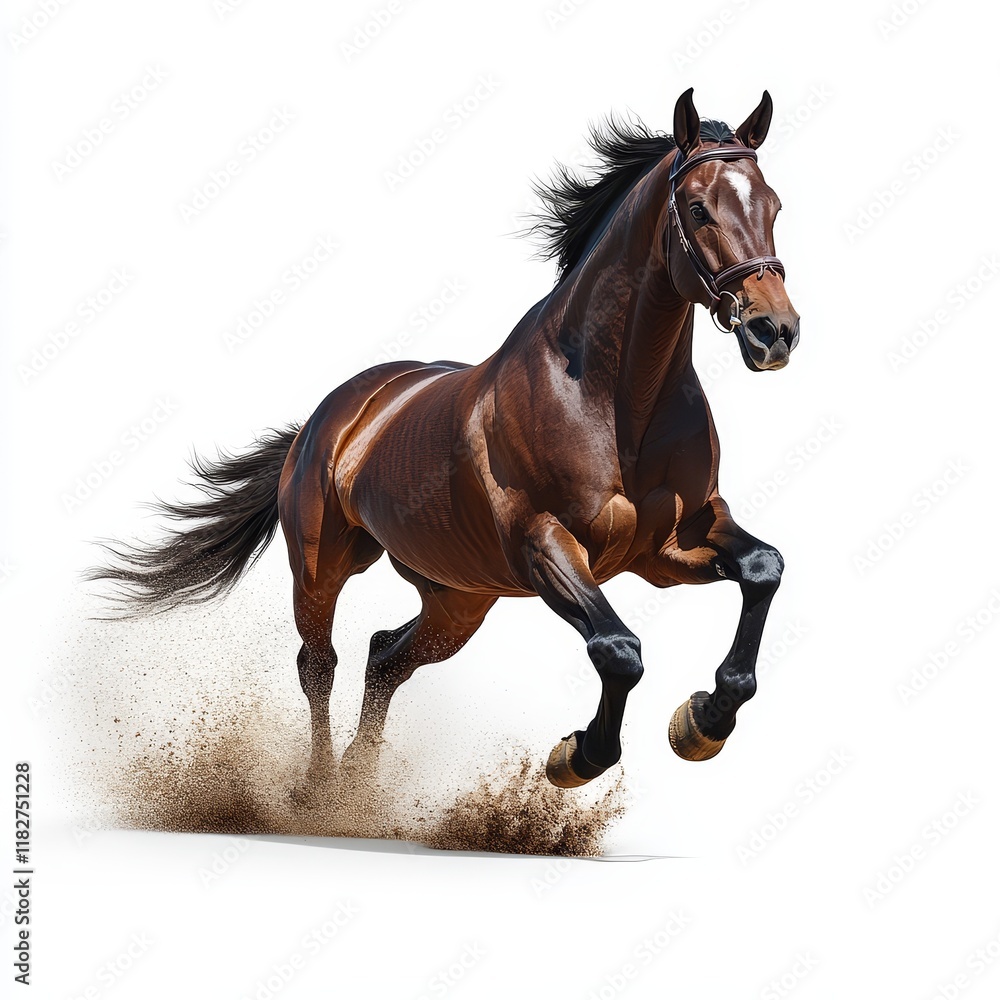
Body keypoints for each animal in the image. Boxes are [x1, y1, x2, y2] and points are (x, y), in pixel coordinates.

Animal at [90, 88, 799, 793]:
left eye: (773, 204)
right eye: (698, 208)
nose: (775, 331)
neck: (617, 402)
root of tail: (333, 415)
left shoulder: (669, 545)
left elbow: (763, 569)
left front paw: (705, 720)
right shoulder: (544, 544)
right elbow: (619, 650)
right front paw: (578, 756)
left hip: (459, 599)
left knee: (384, 658)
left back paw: (358, 788)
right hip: (322, 569)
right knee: (319, 664)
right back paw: (320, 792)